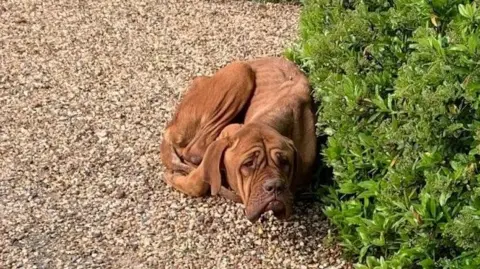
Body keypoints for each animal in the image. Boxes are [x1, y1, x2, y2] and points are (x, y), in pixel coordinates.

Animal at [161, 56, 316, 220]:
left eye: (285, 162)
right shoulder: (226, 135)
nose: (275, 186)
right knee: (195, 151)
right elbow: (196, 182)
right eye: (248, 164)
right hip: (240, 71)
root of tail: (170, 127)